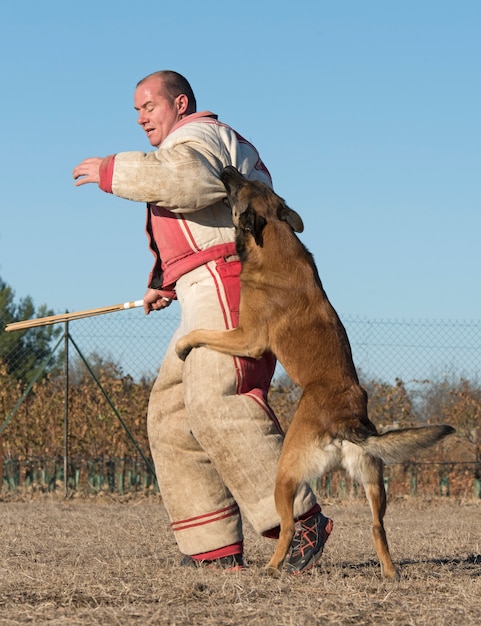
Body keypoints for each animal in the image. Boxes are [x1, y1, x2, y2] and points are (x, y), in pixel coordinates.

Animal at [176, 165, 454, 576]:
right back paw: (390, 574)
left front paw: (184, 345)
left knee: (289, 527)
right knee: (378, 528)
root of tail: (345, 423)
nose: (226, 168)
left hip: (285, 474)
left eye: (240, 185)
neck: (275, 236)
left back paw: (273, 568)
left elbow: (202, 334)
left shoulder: (247, 338)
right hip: (373, 482)